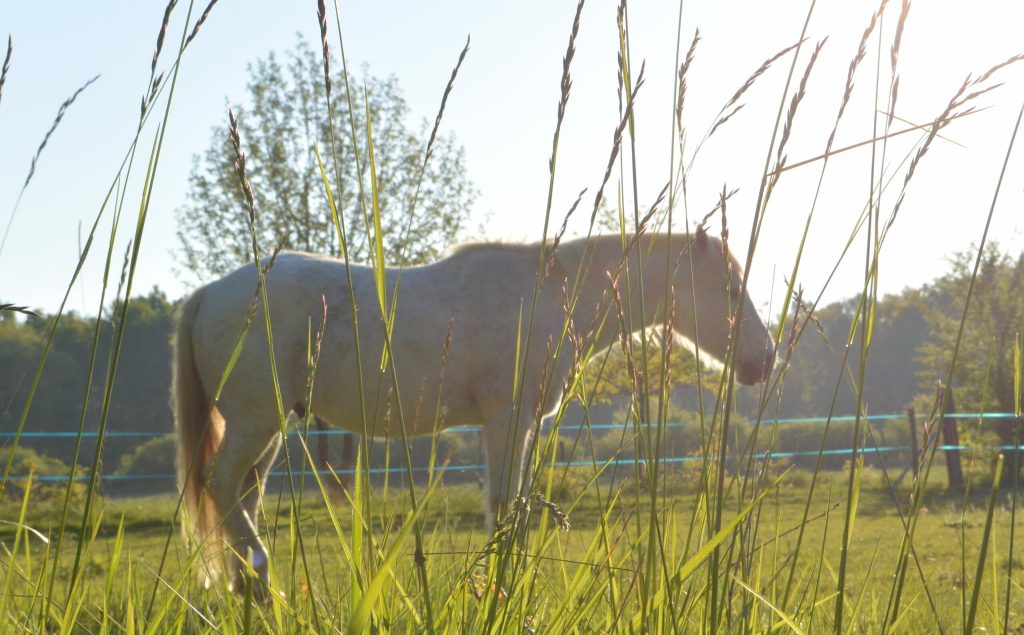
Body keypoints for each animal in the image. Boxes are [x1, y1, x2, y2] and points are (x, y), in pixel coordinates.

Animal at [172, 229, 776, 591]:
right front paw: (502, 586)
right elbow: (507, 508)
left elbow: (513, 509)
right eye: (729, 287)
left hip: (267, 430)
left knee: (241, 498)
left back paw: (252, 589)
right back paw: (260, 581)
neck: (549, 295)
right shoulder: (508, 420)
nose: (764, 360)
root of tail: (211, 291)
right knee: (221, 487)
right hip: (256, 420)